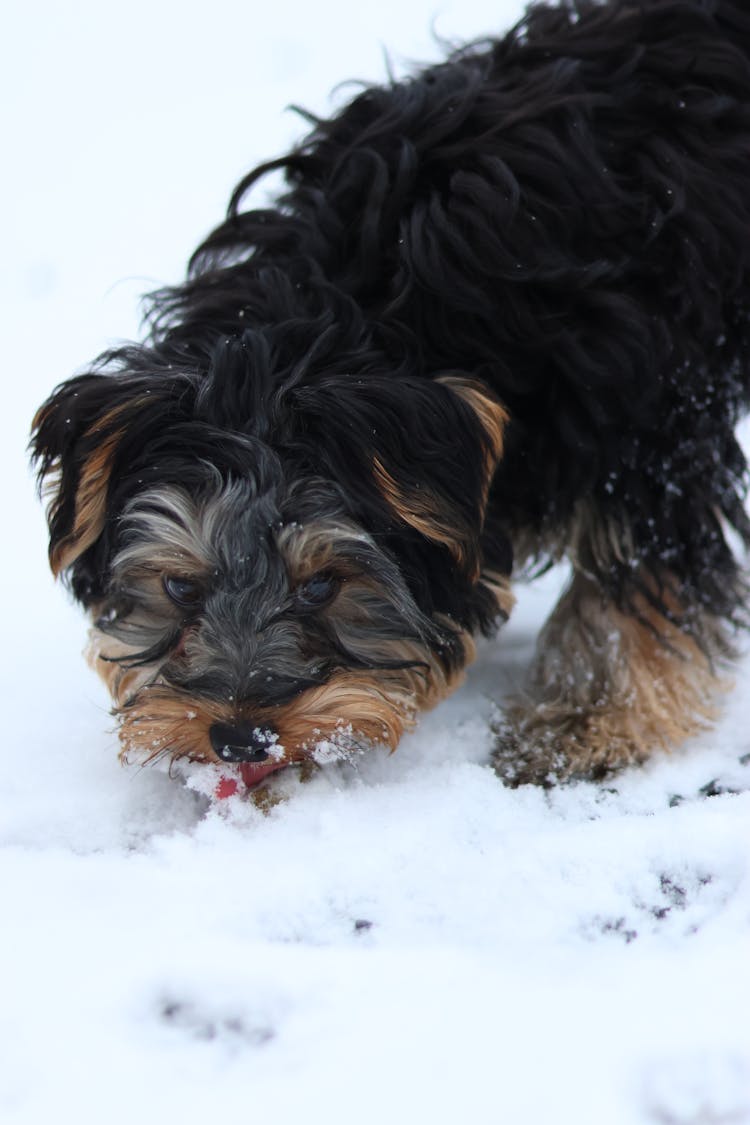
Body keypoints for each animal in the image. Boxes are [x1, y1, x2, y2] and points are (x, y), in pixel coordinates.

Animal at [32, 0, 750, 792]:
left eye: (323, 586)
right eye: (180, 590)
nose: (241, 737)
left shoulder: (646, 421)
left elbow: (634, 572)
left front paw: (587, 724)